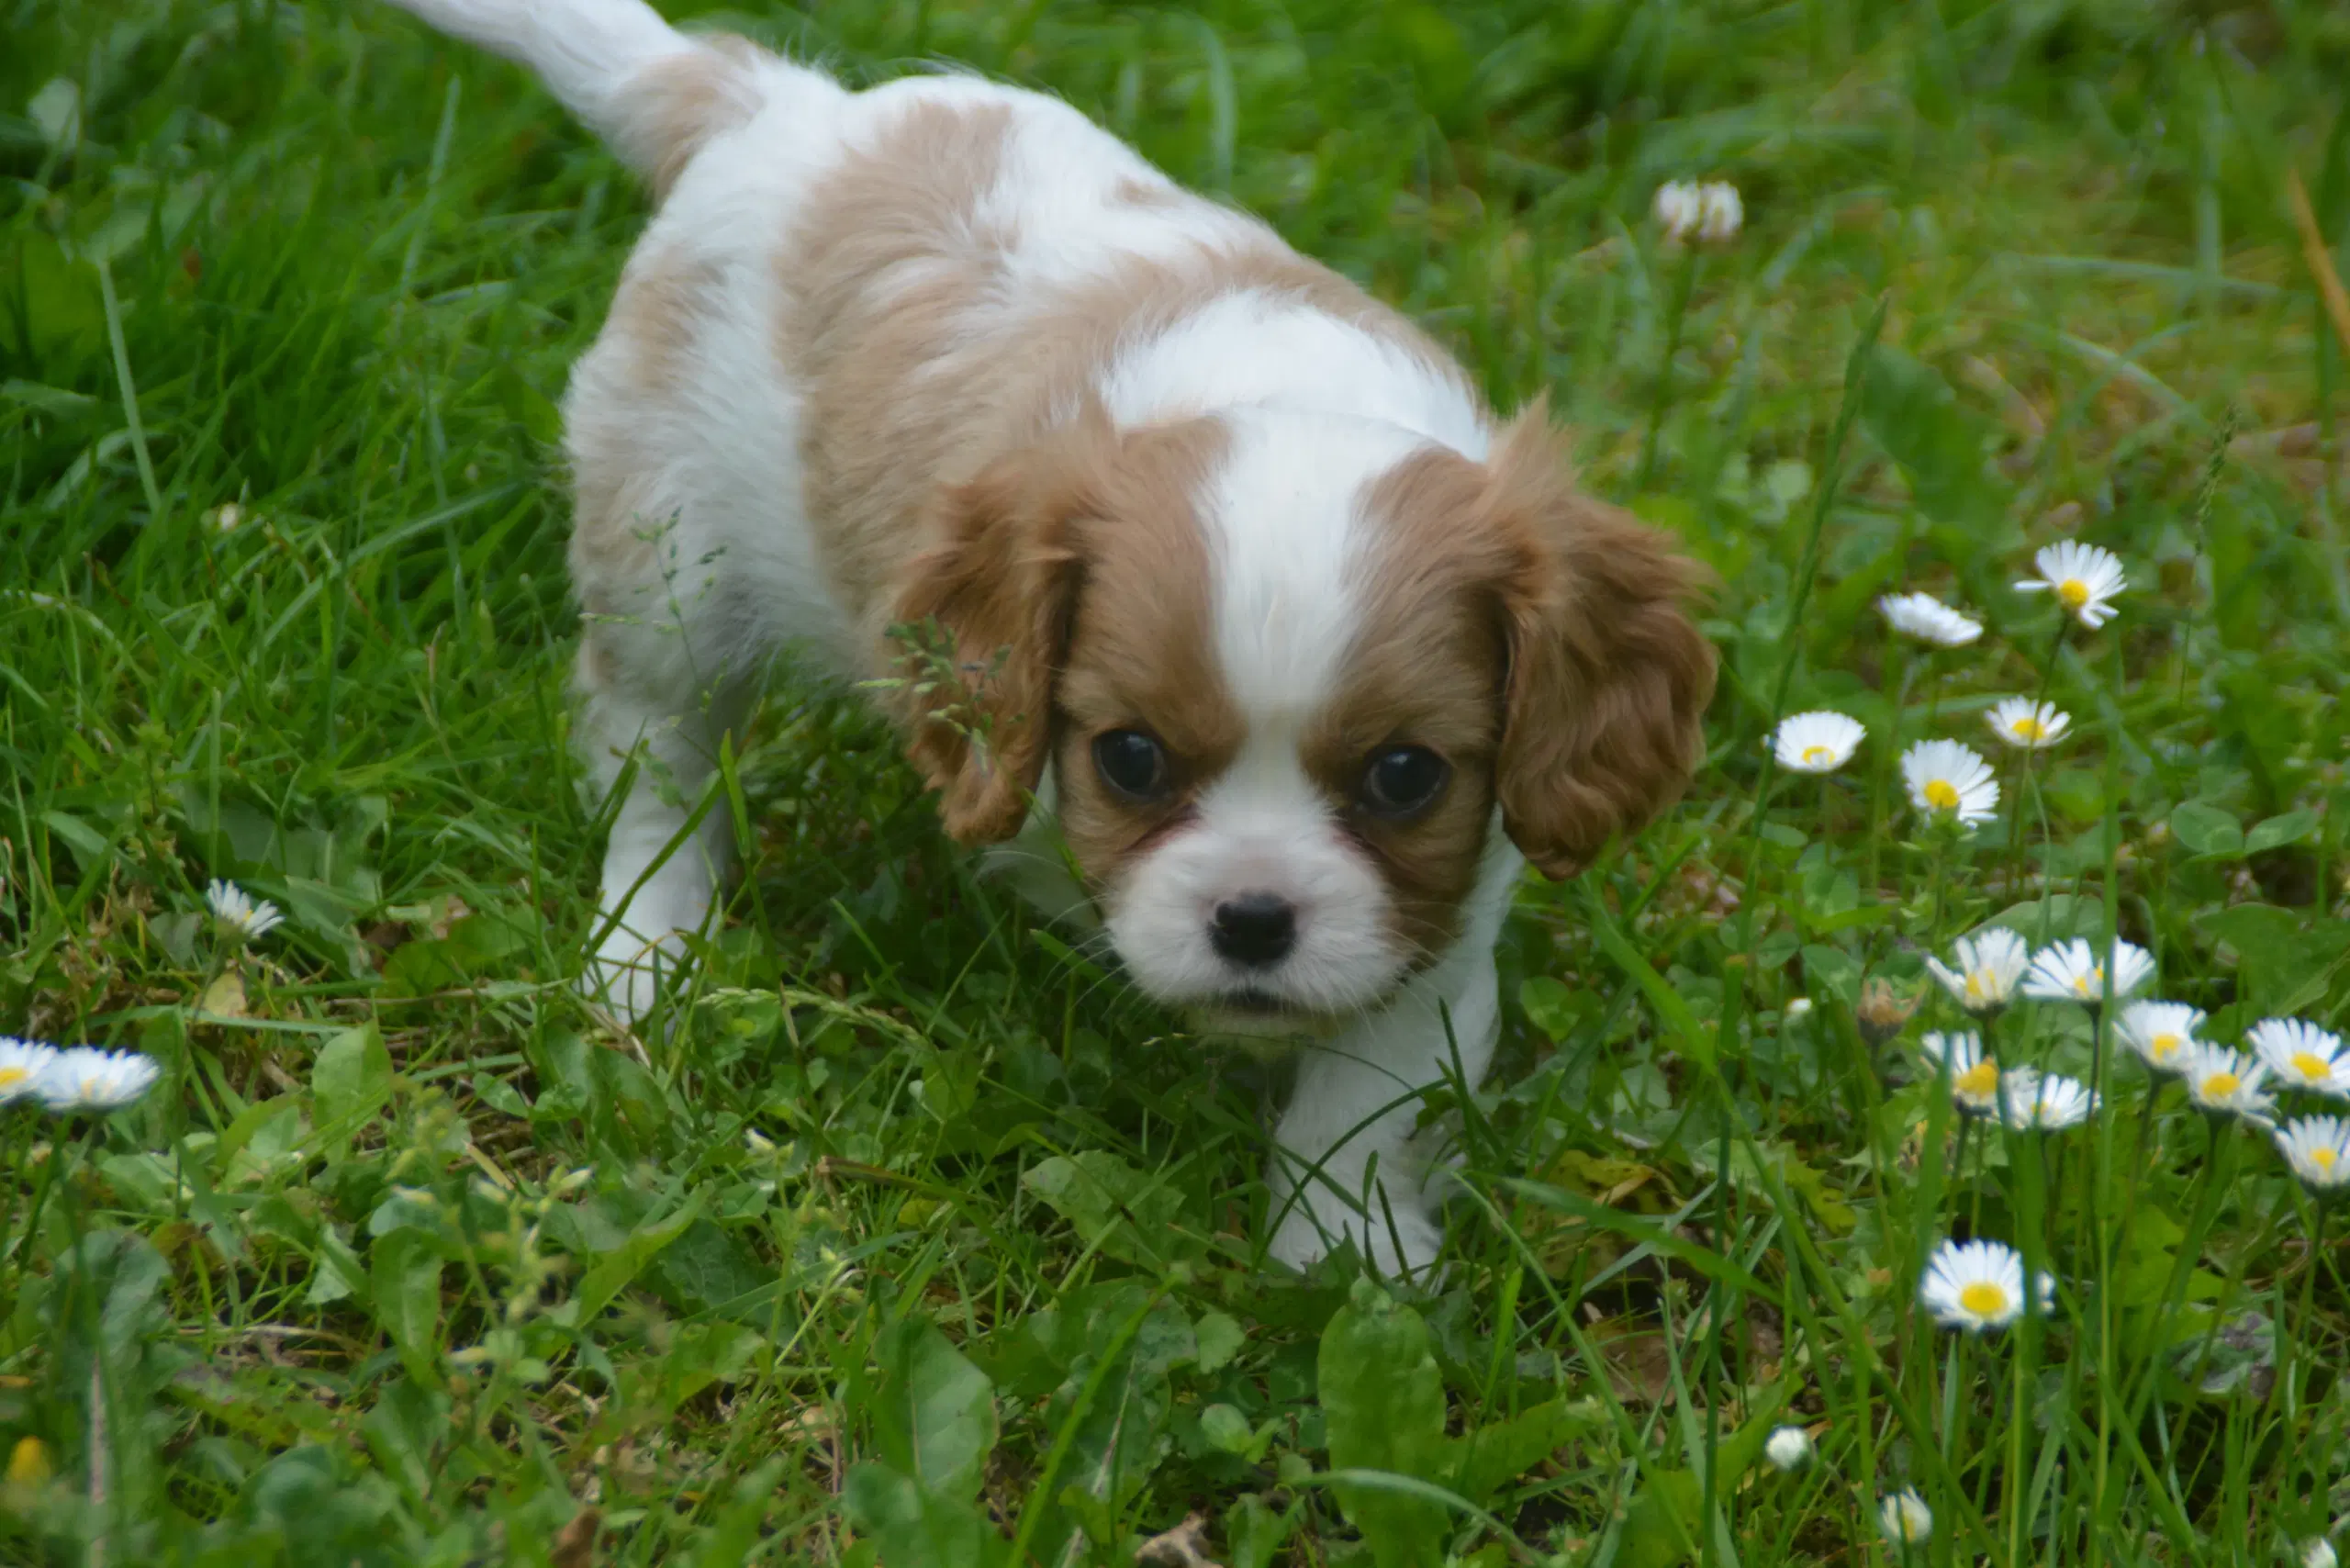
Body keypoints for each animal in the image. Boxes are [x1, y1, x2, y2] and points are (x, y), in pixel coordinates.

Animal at [380, 0, 1710, 1279]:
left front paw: (1344, 1254)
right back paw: (647, 952)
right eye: (1130, 759)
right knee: (658, 768)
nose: (1254, 918)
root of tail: (777, 103)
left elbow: (1364, 1087)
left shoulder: (1436, 915)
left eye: (1403, 776)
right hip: (670, 566)